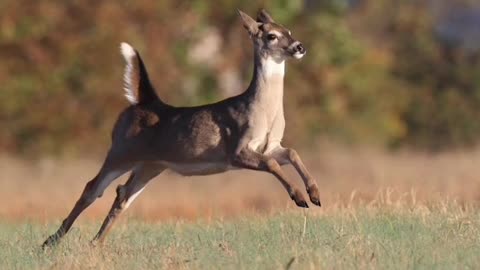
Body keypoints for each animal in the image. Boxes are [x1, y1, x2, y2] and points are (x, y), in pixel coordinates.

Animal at [41, 8, 318, 249]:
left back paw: (96, 243)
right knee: (92, 188)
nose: (299, 47)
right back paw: (50, 242)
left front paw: (314, 194)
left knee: (123, 195)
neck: (263, 112)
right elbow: (271, 163)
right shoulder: (236, 149)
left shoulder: (270, 146)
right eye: (272, 35)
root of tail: (145, 102)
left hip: (151, 164)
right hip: (121, 150)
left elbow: (292, 152)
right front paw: (299, 197)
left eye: (289, 30)